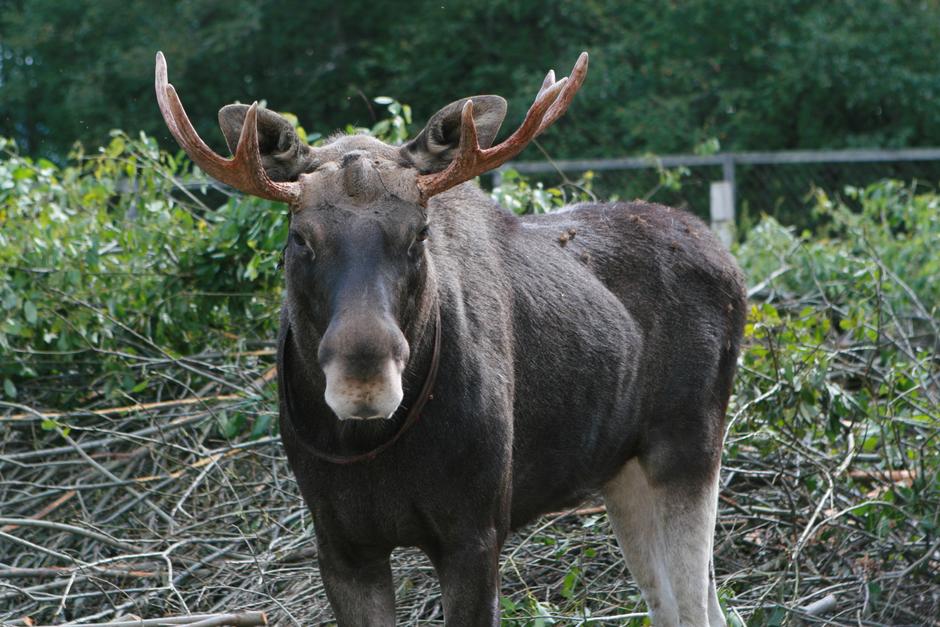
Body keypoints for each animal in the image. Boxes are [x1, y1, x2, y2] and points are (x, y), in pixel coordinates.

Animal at [156, 50, 748, 627]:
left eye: (419, 233)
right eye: (299, 237)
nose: (364, 380)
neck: (371, 450)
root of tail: (730, 265)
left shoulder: (475, 533)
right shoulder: (341, 544)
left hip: (689, 450)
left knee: (698, 609)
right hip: (623, 472)